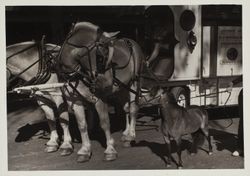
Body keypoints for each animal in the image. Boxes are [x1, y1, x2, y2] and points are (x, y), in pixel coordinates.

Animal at [58, 21, 145, 162]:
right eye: (100, 57)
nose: (108, 83)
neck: (77, 73)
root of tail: (131, 41)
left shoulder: (100, 98)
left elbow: (105, 123)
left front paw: (110, 149)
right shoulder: (75, 100)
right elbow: (82, 125)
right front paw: (85, 150)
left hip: (135, 82)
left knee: (133, 109)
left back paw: (130, 136)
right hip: (121, 88)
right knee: (126, 108)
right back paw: (126, 132)